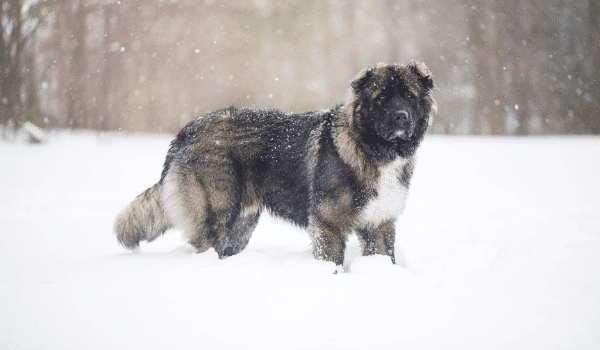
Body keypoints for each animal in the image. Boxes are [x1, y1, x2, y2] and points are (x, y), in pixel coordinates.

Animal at [116, 61, 436, 270]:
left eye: (409, 95)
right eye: (381, 98)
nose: (401, 117)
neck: (374, 149)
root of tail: (188, 130)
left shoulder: (380, 223)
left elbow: (386, 257)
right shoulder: (329, 224)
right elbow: (333, 262)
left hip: (242, 224)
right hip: (217, 213)